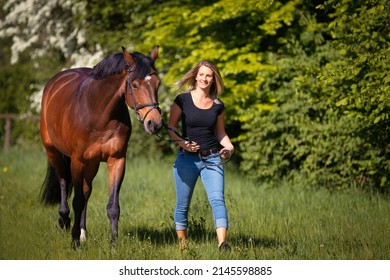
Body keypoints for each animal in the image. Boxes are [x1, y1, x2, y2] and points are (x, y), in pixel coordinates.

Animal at [39, 46, 161, 247]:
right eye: (135, 85)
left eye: (158, 83)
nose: (155, 124)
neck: (98, 112)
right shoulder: (77, 161)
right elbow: (77, 201)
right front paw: (74, 242)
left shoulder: (116, 160)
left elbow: (112, 206)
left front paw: (113, 244)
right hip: (53, 152)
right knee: (63, 181)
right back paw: (64, 220)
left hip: (92, 164)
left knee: (86, 191)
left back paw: (82, 232)